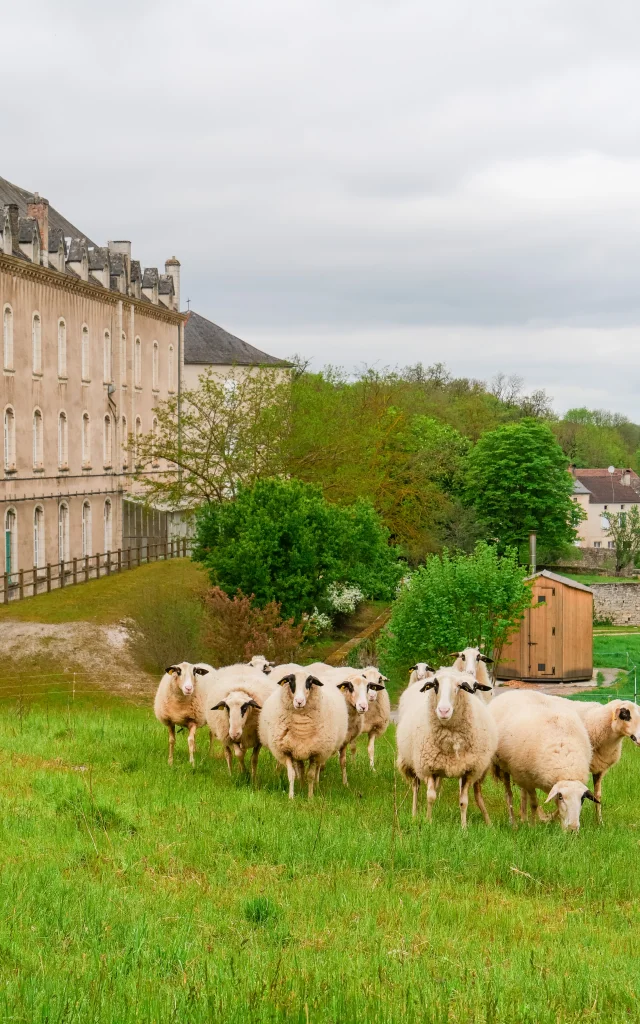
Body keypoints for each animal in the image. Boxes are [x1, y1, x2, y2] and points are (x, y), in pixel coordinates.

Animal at [256, 663, 350, 798]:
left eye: (309, 682)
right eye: (290, 681)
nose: (299, 701)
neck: (301, 726)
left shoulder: (316, 752)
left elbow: (310, 775)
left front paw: (310, 797)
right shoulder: (287, 751)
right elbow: (292, 775)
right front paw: (291, 797)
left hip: (321, 750)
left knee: (317, 769)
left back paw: (315, 785)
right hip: (298, 751)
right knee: (300, 770)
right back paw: (301, 787)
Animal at [397, 667, 497, 827]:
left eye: (460, 687)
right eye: (435, 686)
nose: (443, 711)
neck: (452, 739)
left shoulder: (469, 771)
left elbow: (464, 801)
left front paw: (464, 827)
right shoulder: (428, 768)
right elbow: (430, 797)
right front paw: (428, 822)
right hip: (412, 763)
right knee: (416, 788)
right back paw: (414, 815)